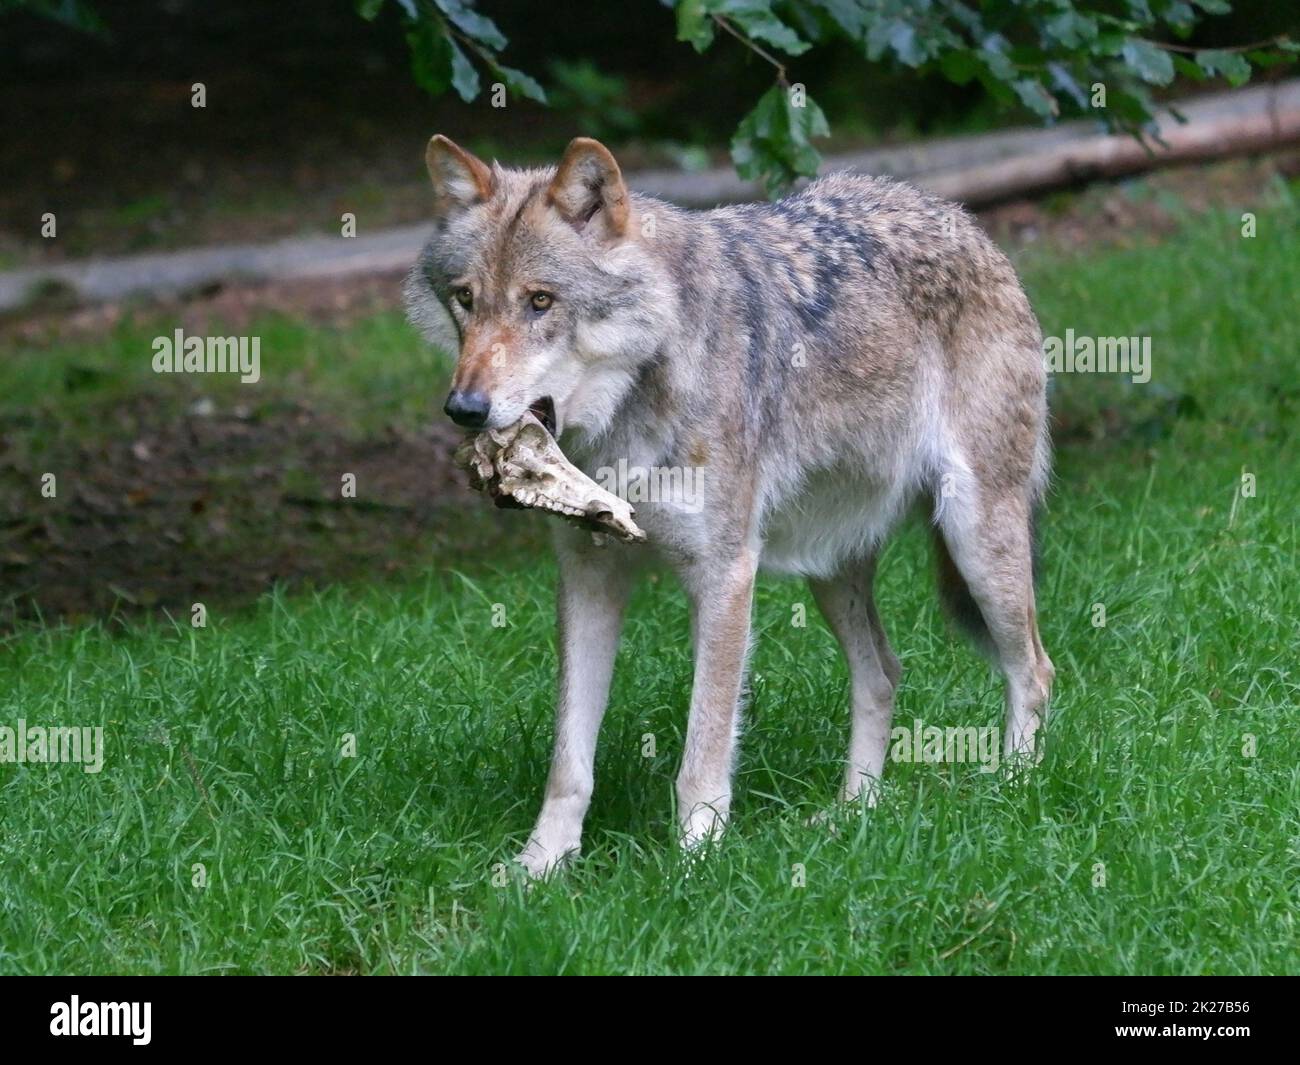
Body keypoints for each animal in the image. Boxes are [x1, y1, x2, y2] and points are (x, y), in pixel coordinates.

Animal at [403, 133, 1055, 879]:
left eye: (541, 301)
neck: (628, 417)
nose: (464, 408)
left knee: (1033, 669)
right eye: (465, 300)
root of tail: (960, 218)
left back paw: (1011, 790)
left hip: (976, 541)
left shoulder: (724, 576)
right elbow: (569, 760)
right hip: (829, 569)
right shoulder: (587, 578)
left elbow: (704, 750)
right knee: (884, 674)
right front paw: (539, 868)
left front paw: (694, 867)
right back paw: (853, 813)